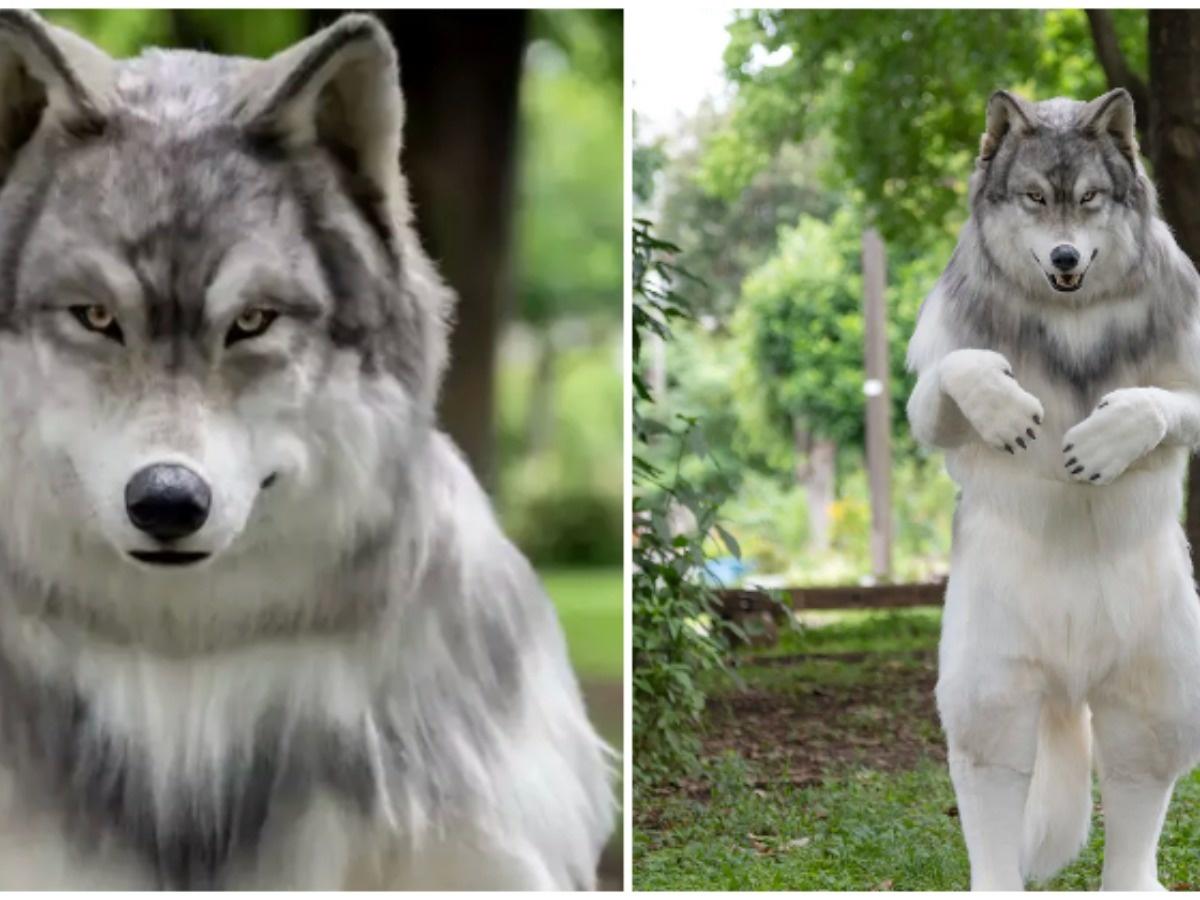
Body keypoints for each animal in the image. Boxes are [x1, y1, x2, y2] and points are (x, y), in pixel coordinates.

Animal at [907, 87, 1200, 890]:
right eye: (1035, 198)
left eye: (1090, 199)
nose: (1065, 256)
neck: (1069, 316)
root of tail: (1071, 678)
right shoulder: (937, 379)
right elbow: (956, 374)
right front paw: (1002, 407)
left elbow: (1162, 402)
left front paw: (1113, 434)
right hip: (991, 672)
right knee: (992, 765)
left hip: (1157, 669)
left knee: (1139, 768)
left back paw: (1132, 884)